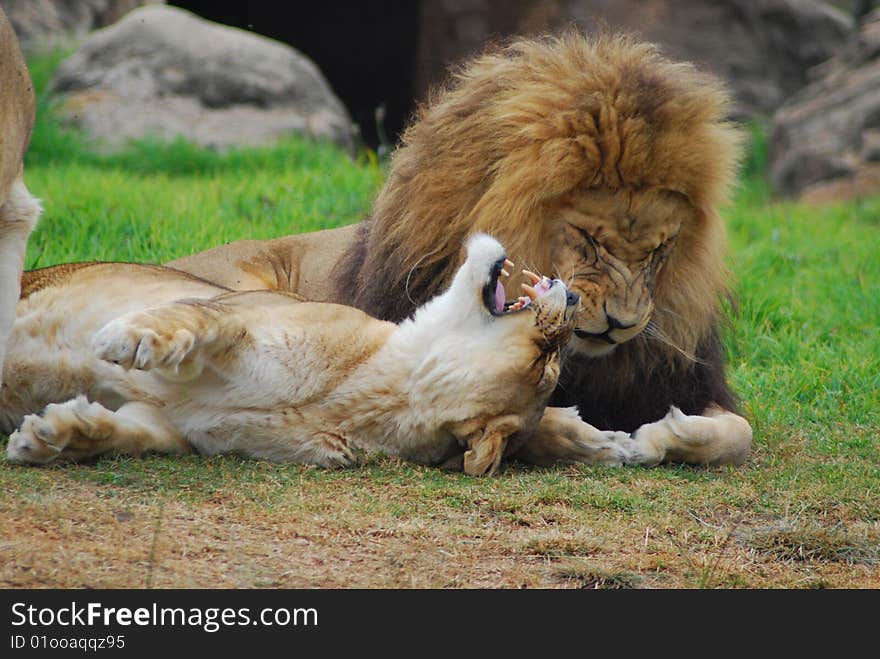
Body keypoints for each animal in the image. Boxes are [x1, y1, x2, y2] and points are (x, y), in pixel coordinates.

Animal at [5, 233, 612, 474]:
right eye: (549, 360)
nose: (575, 298)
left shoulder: (177, 427)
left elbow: (127, 433)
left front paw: (52, 437)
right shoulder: (241, 311)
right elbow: (191, 318)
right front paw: (126, 339)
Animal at [170, 32, 748, 470]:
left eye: (661, 249)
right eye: (588, 240)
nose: (620, 324)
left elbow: (739, 434)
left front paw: (661, 435)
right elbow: (512, 421)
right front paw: (585, 437)